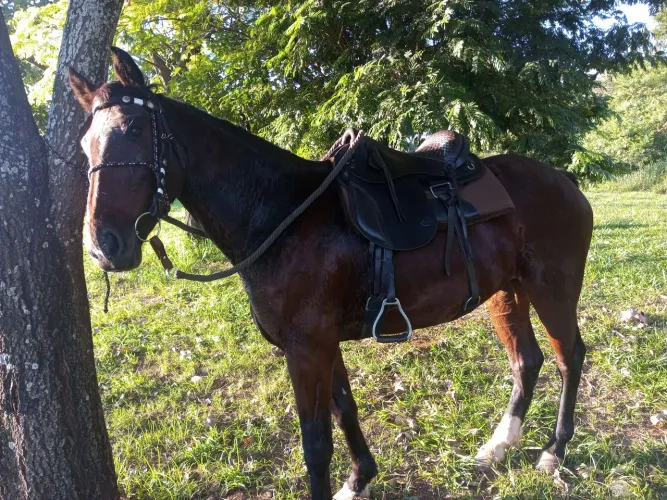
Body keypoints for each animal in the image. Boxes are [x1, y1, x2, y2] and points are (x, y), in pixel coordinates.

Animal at [70, 47, 593, 499]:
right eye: (84, 143)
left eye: (135, 128)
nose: (104, 247)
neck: (281, 214)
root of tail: (562, 178)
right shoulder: (323, 344)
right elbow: (345, 410)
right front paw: (360, 479)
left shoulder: (306, 349)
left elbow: (316, 444)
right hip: (506, 292)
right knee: (526, 360)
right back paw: (498, 447)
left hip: (552, 289)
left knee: (569, 357)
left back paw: (554, 452)